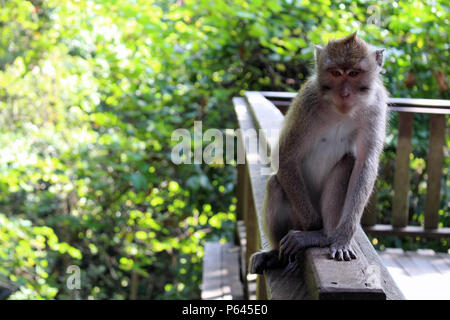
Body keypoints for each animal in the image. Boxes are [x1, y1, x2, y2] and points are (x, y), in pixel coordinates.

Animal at [250, 31, 386, 274]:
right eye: (336, 73)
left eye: (353, 73)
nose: (344, 93)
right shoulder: (307, 102)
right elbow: (285, 155)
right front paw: (312, 226)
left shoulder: (376, 107)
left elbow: (365, 163)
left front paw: (342, 236)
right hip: (294, 216)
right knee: (275, 184)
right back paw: (277, 252)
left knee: (347, 163)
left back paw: (325, 236)